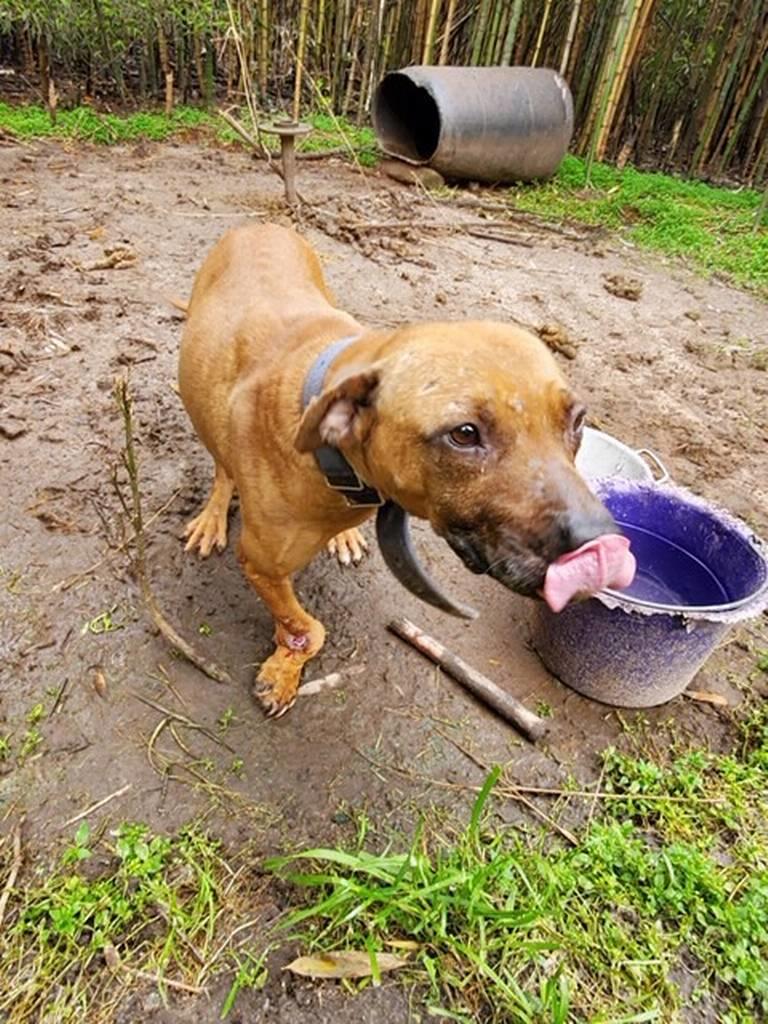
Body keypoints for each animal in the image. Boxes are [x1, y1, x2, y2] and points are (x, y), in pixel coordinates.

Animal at [177, 222, 618, 720]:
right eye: (464, 434)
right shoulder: (260, 563)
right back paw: (213, 516)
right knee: (221, 465)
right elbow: (307, 627)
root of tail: (258, 224)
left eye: (577, 420)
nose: (600, 542)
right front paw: (284, 664)